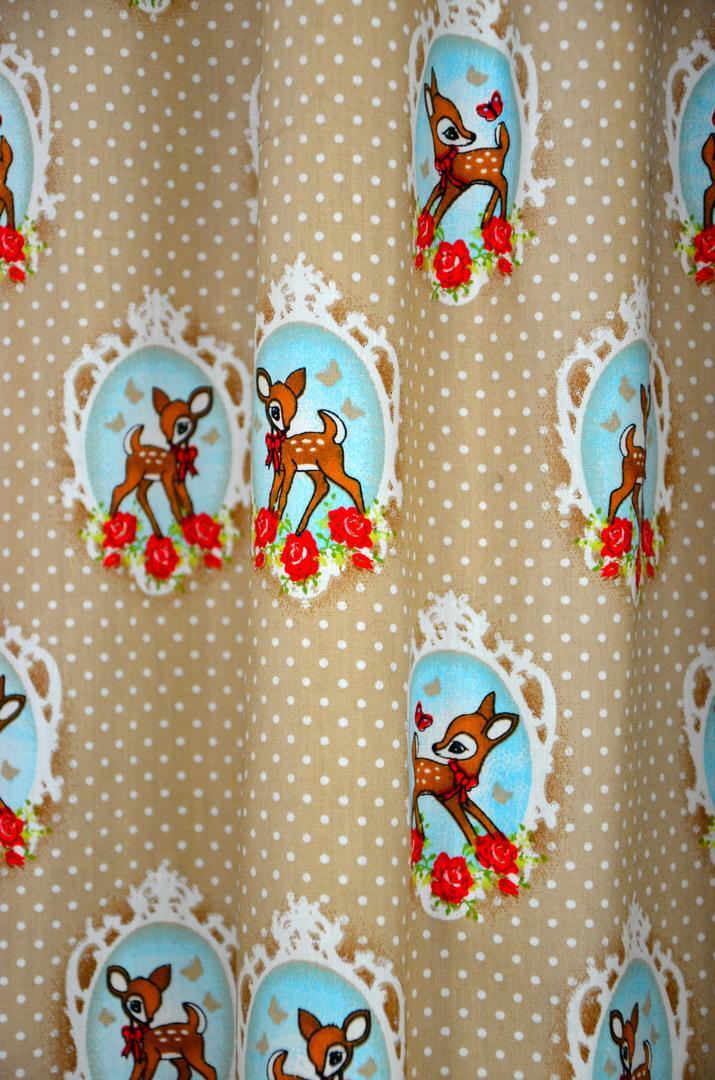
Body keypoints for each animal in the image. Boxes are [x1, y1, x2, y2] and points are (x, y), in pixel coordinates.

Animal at [109, 385, 213, 537]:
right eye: (163, 429)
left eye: (182, 427)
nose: (170, 442)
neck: (179, 457)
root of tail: (134, 449)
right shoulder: (167, 477)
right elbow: (174, 503)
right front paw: (182, 525)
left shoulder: (178, 480)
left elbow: (186, 500)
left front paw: (192, 525)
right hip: (135, 475)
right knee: (119, 490)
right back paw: (110, 519)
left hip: (147, 479)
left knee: (140, 495)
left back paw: (158, 533)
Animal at [256, 366, 365, 535]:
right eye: (275, 411)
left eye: (294, 409)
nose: (286, 428)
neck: (279, 444)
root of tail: (332, 436)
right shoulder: (280, 470)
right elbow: (273, 493)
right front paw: (269, 518)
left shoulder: (290, 467)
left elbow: (283, 494)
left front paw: (277, 519)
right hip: (315, 469)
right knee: (323, 486)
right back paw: (299, 529)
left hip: (330, 466)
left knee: (353, 483)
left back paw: (362, 518)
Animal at [411, 691, 519, 850]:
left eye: (456, 747)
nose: (435, 746)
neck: (459, 775)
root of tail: (414, 760)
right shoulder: (451, 802)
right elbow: (468, 828)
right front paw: (479, 851)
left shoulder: (463, 799)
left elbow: (481, 816)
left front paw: (501, 840)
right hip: (417, 788)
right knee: (413, 803)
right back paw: (420, 833)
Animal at [421, 68, 510, 232]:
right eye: (451, 132)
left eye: (461, 120)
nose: (473, 136)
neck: (448, 160)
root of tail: (501, 149)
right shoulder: (442, 184)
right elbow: (432, 197)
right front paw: (423, 220)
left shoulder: (453, 189)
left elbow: (440, 210)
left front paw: (430, 230)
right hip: (491, 177)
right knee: (499, 187)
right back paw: (486, 219)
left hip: (494, 175)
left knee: (504, 185)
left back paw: (501, 220)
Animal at [607, 384, 650, 533]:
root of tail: (628, 451)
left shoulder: (639, 483)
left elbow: (636, 502)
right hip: (629, 478)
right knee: (615, 494)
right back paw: (610, 525)